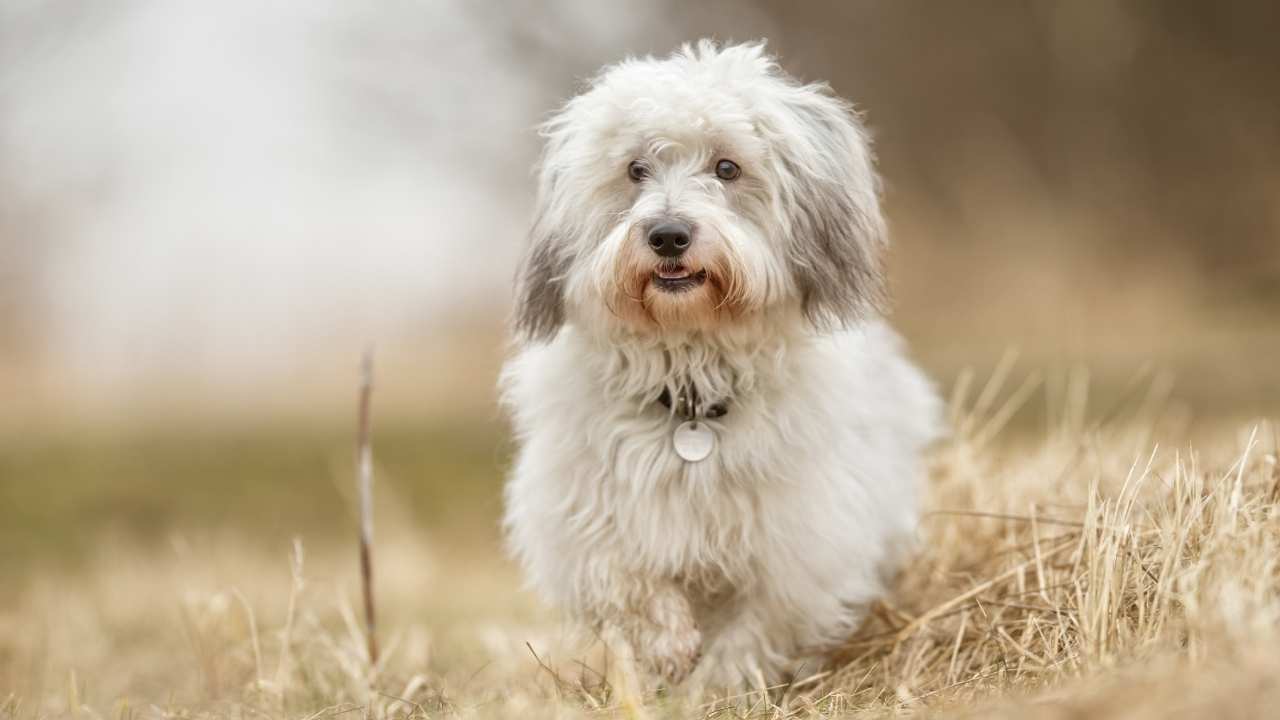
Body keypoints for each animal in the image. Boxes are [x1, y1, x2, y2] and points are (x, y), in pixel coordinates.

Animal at [499, 37, 942, 681]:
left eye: (727, 168)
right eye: (636, 170)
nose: (667, 235)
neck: (690, 385)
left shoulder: (800, 548)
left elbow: (752, 634)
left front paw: (714, 685)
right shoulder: (581, 515)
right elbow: (625, 578)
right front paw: (668, 647)